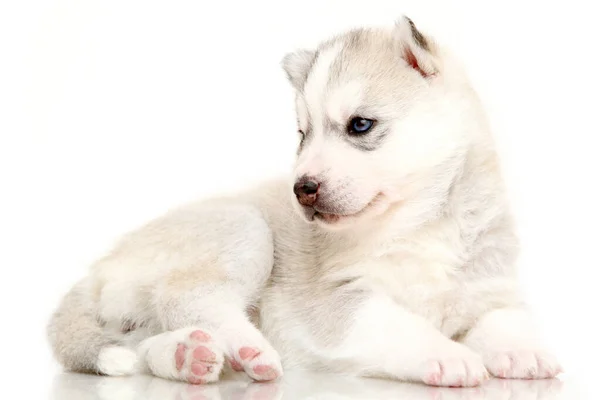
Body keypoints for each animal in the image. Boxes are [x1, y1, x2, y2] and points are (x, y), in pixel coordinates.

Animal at [48, 16, 564, 388]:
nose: (302, 188)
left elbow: (504, 318)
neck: (418, 225)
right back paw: (247, 347)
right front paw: (448, 354)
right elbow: (400, 325)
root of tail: (98, 267)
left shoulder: (490, 287)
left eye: (360, 125)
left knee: (141, 344)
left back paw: (187, 355)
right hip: (244, 228)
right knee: (186, 297)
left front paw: (523, 351)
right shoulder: (342, 302)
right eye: (302, 134)